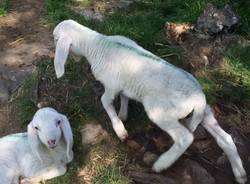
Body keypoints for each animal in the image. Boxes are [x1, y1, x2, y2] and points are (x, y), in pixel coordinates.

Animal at [53, 19, 248, 183]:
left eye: (55, 38)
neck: (97, 45)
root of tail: (198, 97)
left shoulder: (111, 85)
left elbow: (105, 102)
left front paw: (120, 130)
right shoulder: (123, 84)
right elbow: (125, 97)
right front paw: (123, 115)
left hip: (160, 111)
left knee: (185, 137)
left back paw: (161, 164)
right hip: (203, 114)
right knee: (226, 139)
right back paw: (240, 174)